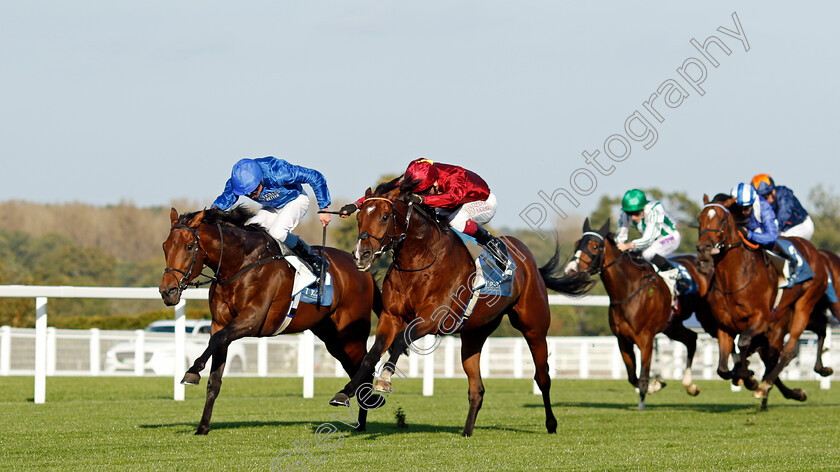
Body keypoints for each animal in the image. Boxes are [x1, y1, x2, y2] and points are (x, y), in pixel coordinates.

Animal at [158, 206, 380, 436]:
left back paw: (362, 421)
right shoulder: (219, 322)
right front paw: (203, 426)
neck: (241, 264)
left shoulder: (253, 318)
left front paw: (192, 371)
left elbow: (217, 339)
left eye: (189, 246)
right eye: (165, 246)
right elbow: (215, 376)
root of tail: (363, 270)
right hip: (333, 339)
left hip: (352, 336)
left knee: (366, 370)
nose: (167, 291)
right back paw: (358, 415)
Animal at [326, 183, 592, 436]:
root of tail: (530, 261)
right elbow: (373, 352)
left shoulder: (432, 318)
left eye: (383, 216)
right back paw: (467, 431)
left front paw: (385, 379)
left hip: (534, 326)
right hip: (474, 334)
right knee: (477, 388)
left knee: (542, 376)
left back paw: (551, 423)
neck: (420, 259)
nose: (361, 255)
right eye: (359, 218)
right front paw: (346, 391)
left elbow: (401, 340)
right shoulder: (391, 316)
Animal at [564, 218, 716, 410]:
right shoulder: (623, 340)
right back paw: (690, 386)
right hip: (672, 325)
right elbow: (632, 377)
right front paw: (656, 384)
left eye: (594, 246)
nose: (570, 270)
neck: (629, 291)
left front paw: (643, 403)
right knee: (691, 339)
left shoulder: (646, 339)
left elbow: (643, 376)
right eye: (577, 244)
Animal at [696, 194, 828, 404]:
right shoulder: (724, 326)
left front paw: (748, 377)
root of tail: (814, 250)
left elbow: (743, 343)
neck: (733, 280)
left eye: (722, 220)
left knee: (790, 350)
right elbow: (722, 369)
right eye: (699, 220)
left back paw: (766, 385)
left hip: (804, 304)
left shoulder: (760, 319)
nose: (703, 249)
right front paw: (745, 375)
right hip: (783, 319)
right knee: (812, 333)